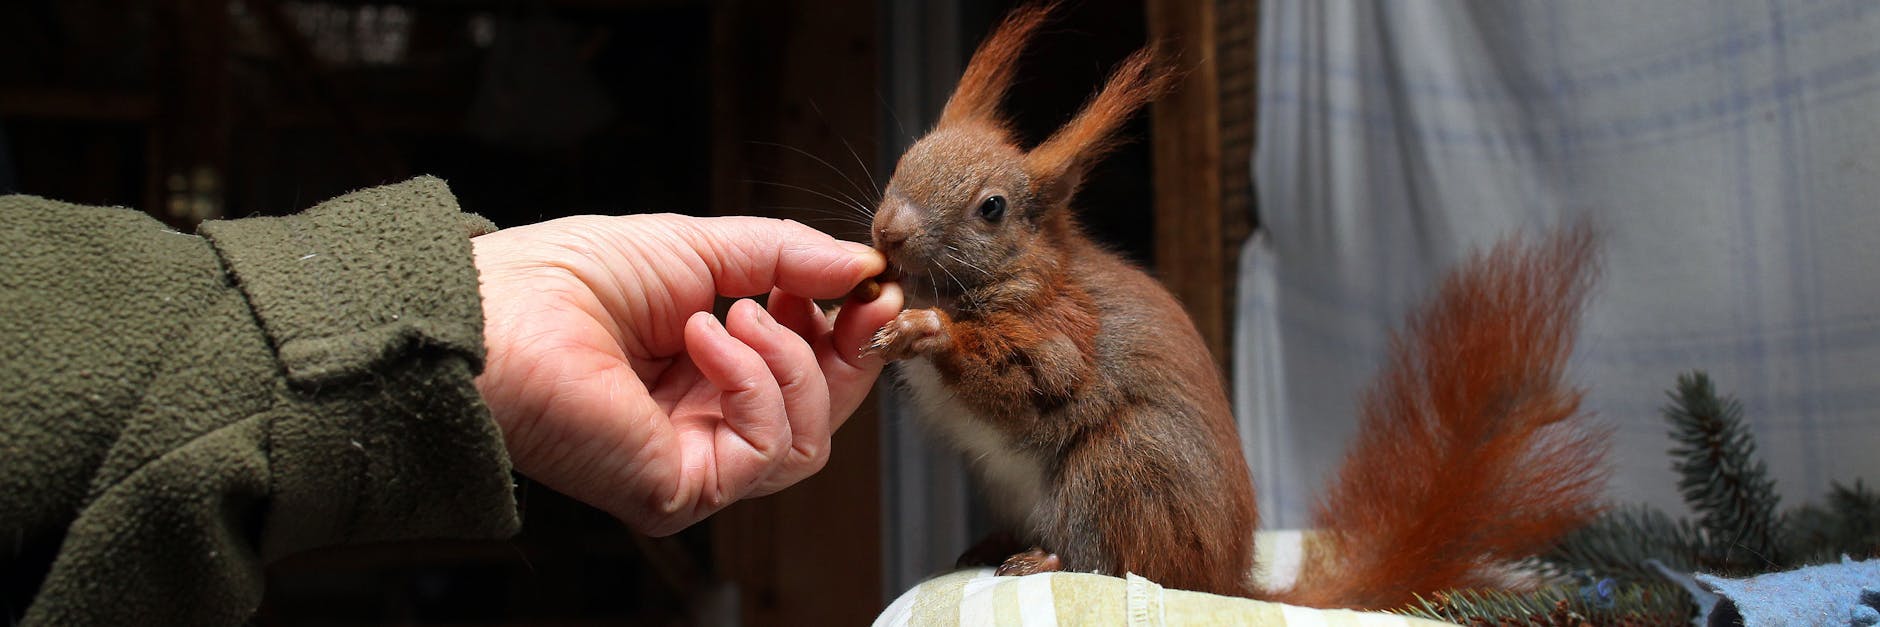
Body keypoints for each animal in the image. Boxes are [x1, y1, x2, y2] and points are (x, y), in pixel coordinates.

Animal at [861, 2, 1609, 609]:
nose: (887, 231)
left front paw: (929, 331)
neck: (1015, 272)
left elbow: (1029, 378)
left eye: (991, 209)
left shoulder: (1063, 332)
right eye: (909, 154)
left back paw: (1041, 557)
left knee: (1114, 560)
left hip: (1122, 468)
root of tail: (1225, 578)